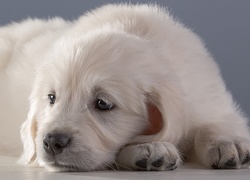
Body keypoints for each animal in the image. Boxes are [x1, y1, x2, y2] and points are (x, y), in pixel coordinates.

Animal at [0, 3, 250, 171]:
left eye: (103, 104)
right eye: (51, 98)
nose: (52, 142)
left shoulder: (207, 96)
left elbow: (215, 122)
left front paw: (228, 141)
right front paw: (150, 148)